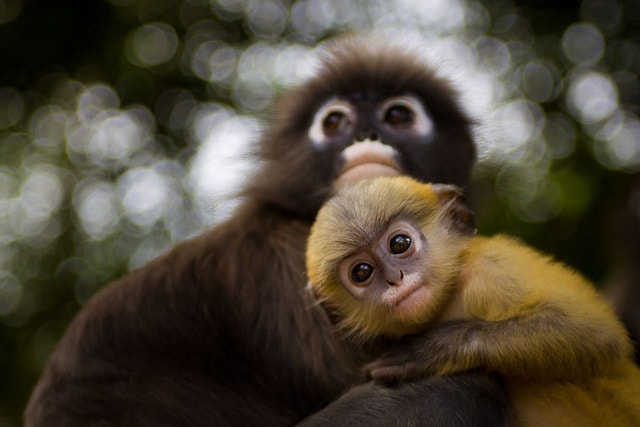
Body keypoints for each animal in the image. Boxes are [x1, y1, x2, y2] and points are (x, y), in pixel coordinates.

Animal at [304, 176, 640, 426]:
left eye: (400, 243)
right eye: (362, 272)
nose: (394, 278)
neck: (451, 294)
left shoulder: (492, 272)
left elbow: (593, 332)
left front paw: (433, 349)